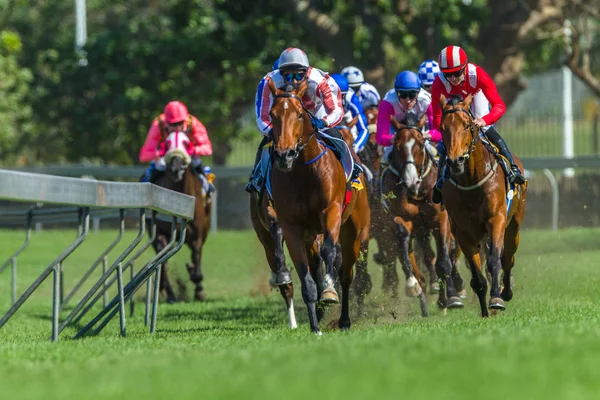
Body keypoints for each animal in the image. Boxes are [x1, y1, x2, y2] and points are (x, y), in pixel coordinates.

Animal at [152, 133, 213, 302]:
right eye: (167, 143)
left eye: (186, 143)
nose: (176, 169)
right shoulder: (160, 231)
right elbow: (162, 257)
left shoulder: (197, 233)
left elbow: (197, 262)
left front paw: (198, 288)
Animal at [268, 78, 370, 334]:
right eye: (273, 115)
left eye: (299, 115)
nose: (284, 154)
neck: (304, 172)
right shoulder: (292, 228)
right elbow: (306, 278)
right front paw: (315, 326)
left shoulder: (330, 212)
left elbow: (330, 253)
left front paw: (329, 291)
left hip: (354, 232)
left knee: (346, 273)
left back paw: (344, 319)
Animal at [380, 113, 464, 316]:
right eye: (397, 145)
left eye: (419, 144)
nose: (410, 180)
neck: (418, 191)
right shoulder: (402, 219)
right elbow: (405, 253)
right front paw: (413, 285)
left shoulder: (441, 220)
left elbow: (444, 262)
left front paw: (452, 297)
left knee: (449, 253)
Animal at [438, 95, 528, 318]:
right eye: (442, 128)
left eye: (468, 125)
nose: (456, 161)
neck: (471, 181)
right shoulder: (462, 231)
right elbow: (477, 276)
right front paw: (485, 311)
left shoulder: (496, 220)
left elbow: (495, 261)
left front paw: (496, 299)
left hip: (513, 226)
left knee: (508, 258)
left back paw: (506, 292)